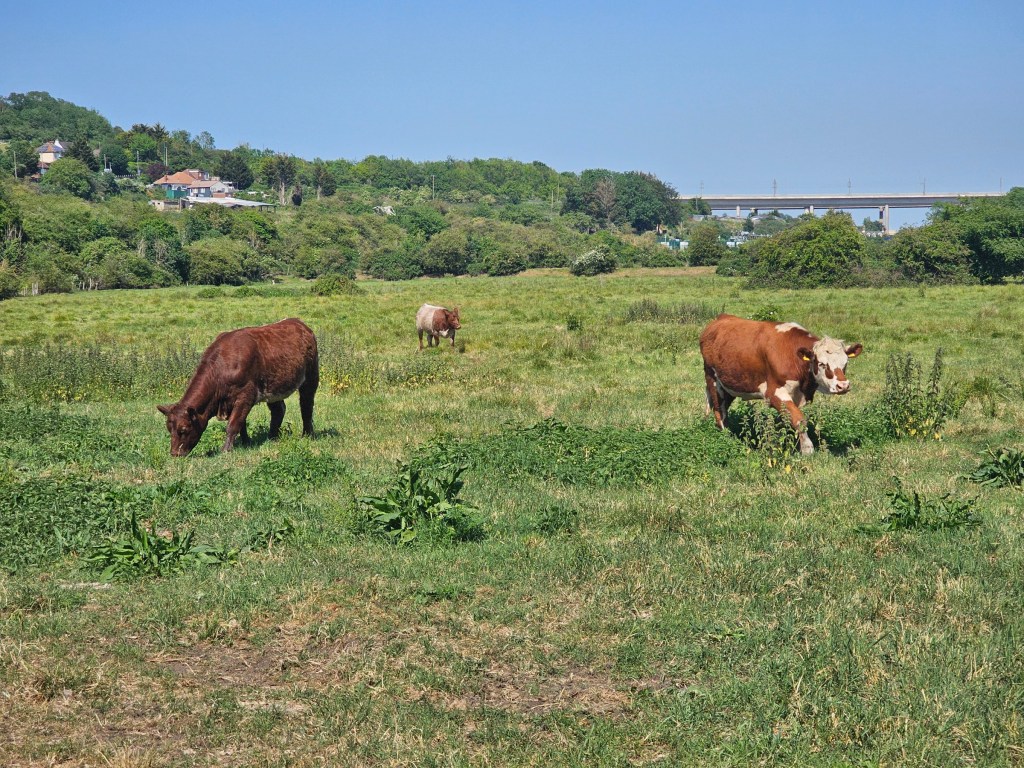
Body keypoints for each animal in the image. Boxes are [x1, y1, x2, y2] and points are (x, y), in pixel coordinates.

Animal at [157, 318, 319, 457]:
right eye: (169, 428)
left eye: (184, 429)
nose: (174, 454)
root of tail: (299, 323)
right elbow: (242, 424)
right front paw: (246, 443)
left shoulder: (245, 396)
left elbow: (234, 423)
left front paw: (226, 450)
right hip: (274, 386)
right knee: (279, 410)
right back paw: (272, 437)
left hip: (311, 377)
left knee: (306, 406)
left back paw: (308, 434)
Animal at [699, 313, 862, 454]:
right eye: (821, 363)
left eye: (845, 363)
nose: (843, 386)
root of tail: (720, 319)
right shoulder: (773, 393)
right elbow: (799, 419)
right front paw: (807, 449)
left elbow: (787, 420)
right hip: (713, 381)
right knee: (719, 412)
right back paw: (727, 439)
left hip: (730, 385)